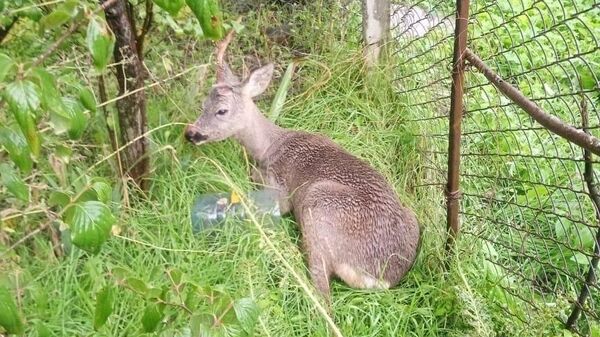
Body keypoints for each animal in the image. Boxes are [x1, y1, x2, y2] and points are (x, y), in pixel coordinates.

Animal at [185, 30, 420, 300]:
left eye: (222, 110)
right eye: (203, 104)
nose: (191, 133)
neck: (269, 145)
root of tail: (380, 276)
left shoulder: (279, 188)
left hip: (317, 201)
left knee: (321, 288)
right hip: (411, 217)